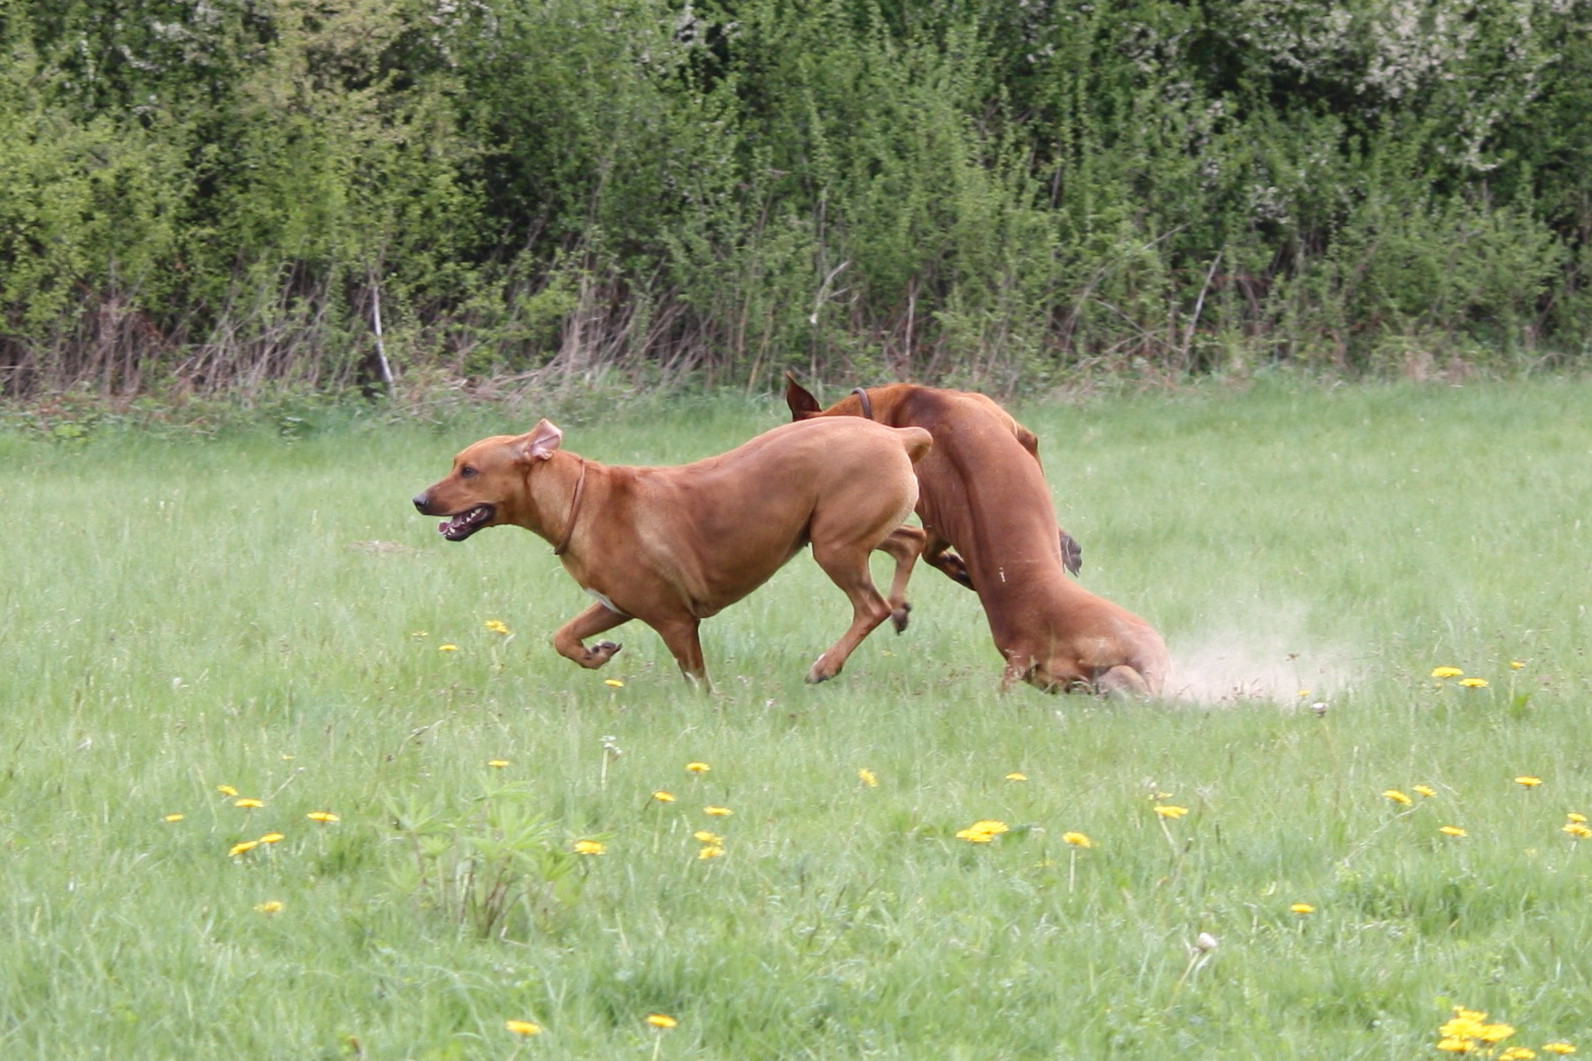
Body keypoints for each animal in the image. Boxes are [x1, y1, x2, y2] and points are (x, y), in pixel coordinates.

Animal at [413, 414, 929, 685]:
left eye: (468, 471)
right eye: (456, 464)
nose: (418, 499)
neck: (579, 500)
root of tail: (894, 434)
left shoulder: (675, 620)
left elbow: (697, 680)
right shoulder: (614, 604)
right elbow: (563, 637)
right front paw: (596, 654)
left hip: (834, 545)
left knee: (870, 607)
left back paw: (828, 663)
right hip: (845, 532)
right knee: (912, 541)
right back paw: (903, 606)